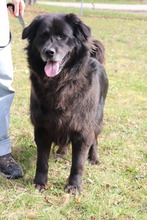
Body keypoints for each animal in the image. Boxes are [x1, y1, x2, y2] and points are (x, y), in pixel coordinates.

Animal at [22, 12, 108, 193]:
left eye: (63, 37)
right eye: (43, 35)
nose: (49, 52)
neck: (60, 83)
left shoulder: (83, 129)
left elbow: (78, 163)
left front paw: (74, 186)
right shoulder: (42, 127)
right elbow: (42, 160)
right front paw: (40, 182)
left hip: (97, 119)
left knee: (95, 139)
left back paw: (94, 157)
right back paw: (61, 152)